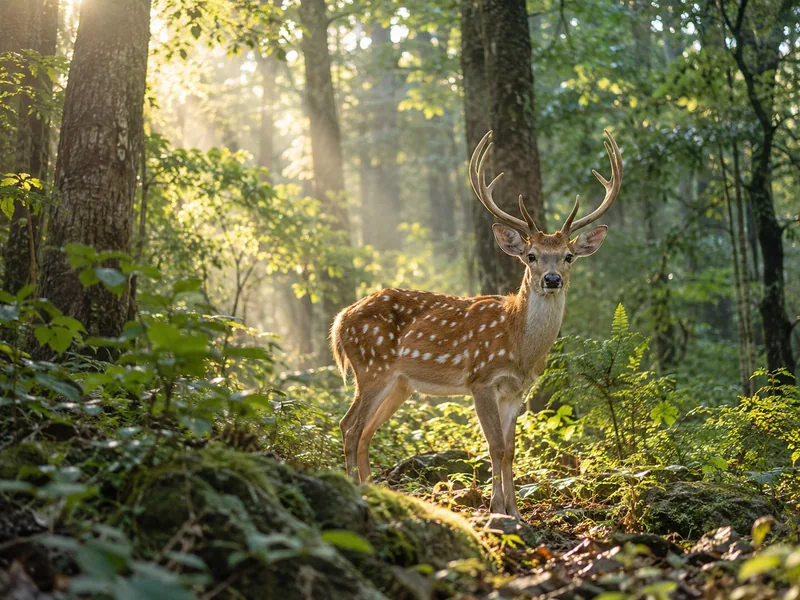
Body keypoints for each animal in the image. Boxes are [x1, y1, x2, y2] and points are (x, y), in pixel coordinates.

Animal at [330, 130, 622, 518]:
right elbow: (494, 446)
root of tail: (339, 320)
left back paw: (375, 490)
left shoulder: (516, 391)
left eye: (569, 256)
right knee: (349, 426)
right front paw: (497, 509)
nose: (552, 279)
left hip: (400, 384)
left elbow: (511, 449)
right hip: (371, 366)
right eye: (531, 256)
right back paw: (355, 489)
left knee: (365, 432)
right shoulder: (480, 379)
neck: (519, 347)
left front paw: (515, 511)